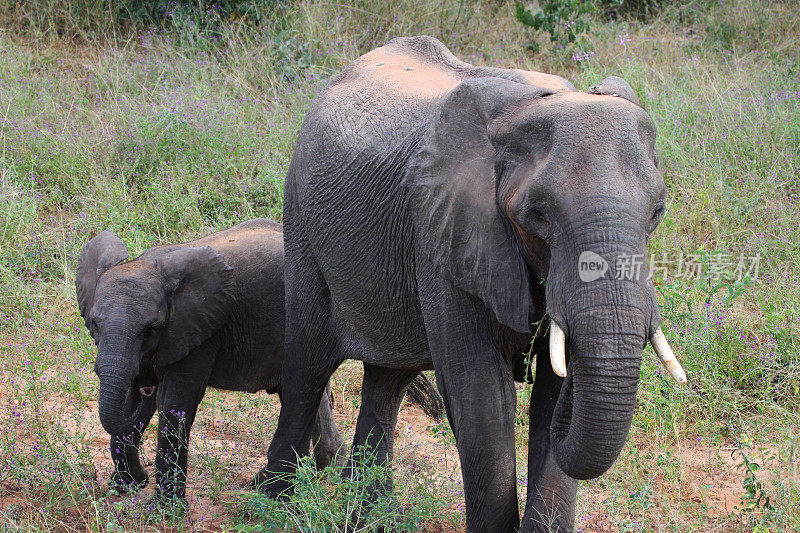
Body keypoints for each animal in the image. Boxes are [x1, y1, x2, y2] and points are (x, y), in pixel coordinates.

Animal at [76, 219, 346, 508]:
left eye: (150, 329)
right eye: (94, 324)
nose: (146, 387)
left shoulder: (202, 332)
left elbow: (175, 402)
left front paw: (165, 510)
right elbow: (128, 401)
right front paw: (125, 488)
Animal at [258, 35, 688, 528]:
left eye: (657, 211)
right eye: (537, 214)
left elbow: (550, 396)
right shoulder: (444, 235)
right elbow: (482, 397)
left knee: (388, 380)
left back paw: (371, 518)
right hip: (301, 223)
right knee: (308, 363)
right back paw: (273, 501)